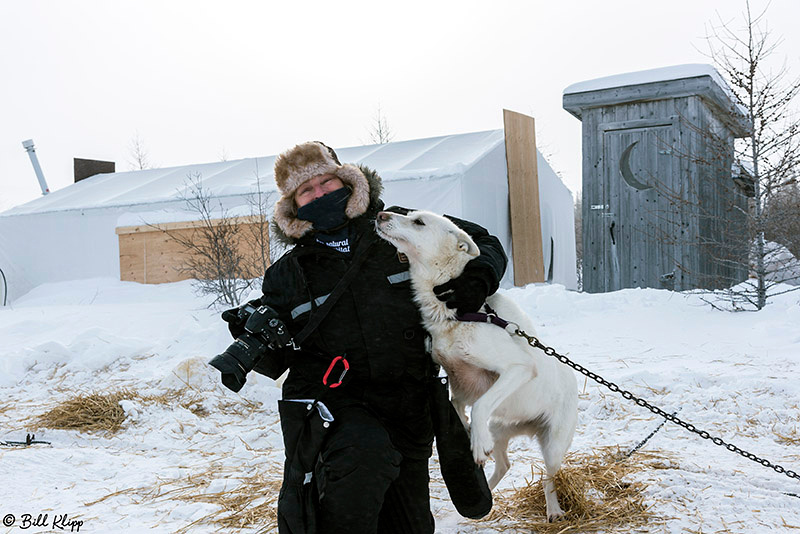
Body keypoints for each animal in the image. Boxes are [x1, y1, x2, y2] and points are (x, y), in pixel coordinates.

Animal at [376, 210, 576, 524]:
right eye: (408, 215)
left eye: (419, 222)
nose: (380, 214)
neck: (458, 312)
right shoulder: (460, 384)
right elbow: (459, 406)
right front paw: (468, 431)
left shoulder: (518, 367)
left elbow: (481, 405)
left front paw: (475, 440)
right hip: (500, 430)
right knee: (505, 464)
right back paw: (484, 495)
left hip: (553, 446)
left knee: (549, 477)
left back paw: (553, 510)